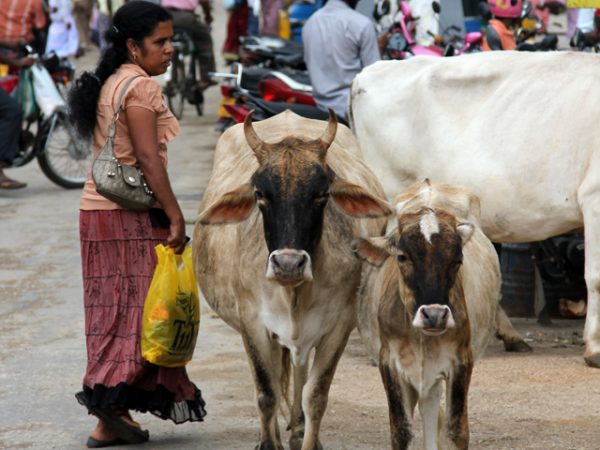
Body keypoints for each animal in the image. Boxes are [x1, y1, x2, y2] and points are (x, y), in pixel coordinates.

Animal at [192, 110, 391, 450]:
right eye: (260, 195)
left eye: (322, 194)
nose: (288, 264)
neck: (294, 293)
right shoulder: (253, 325)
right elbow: (267, 393)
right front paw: (268, 443)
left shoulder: (338, 327)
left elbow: (316, 396)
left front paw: (307, 436)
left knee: (298, 372)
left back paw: (297, 429)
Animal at [349, 51, 600, 368]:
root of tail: (368, 72)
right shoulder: (594, 196)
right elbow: (595, 276)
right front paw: (594, 349)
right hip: (391, 199)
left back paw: (511, 335)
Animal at [353, 179, 501, 450]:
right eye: (402, 256)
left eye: (458, 259)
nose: (434, 315)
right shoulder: (389, 363)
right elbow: (401, 431)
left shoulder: (461, 361)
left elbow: (456, 430)